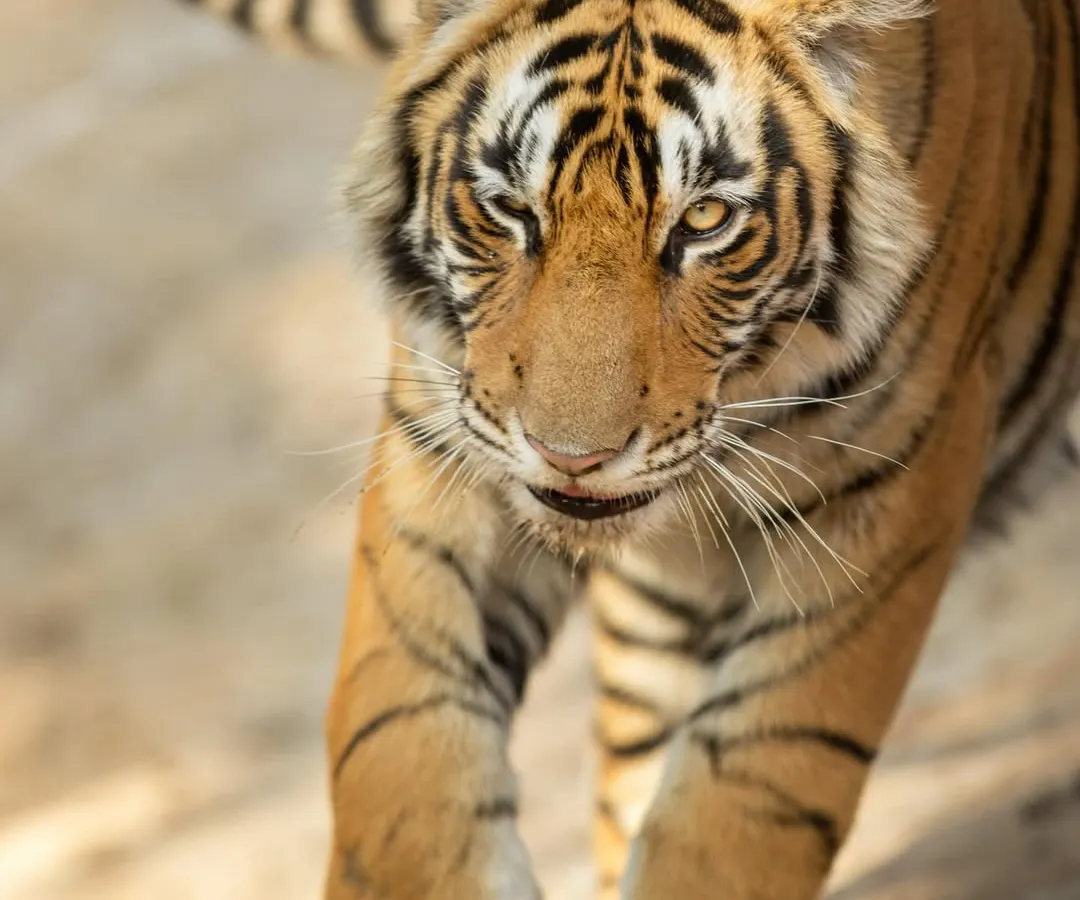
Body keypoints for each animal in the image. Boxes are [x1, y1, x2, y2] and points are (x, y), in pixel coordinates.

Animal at [178, 1, 1080, 898]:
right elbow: (397, 743)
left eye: (705, 220)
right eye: (510, 209)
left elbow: (751, 798)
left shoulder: (888, 490)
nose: (569, 456)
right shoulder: (446, 444)